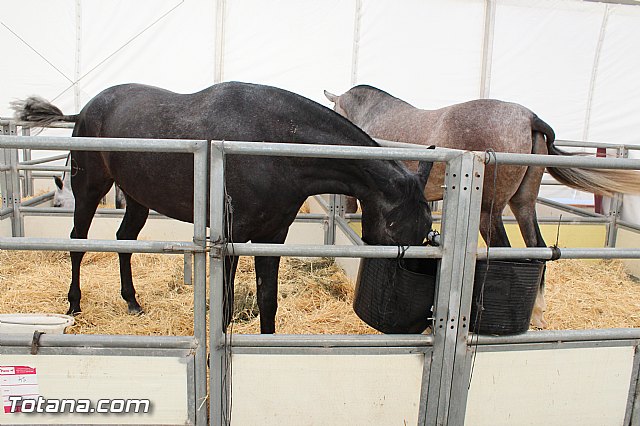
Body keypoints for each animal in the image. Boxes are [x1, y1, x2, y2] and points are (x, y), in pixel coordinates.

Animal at [13, 81, 434, 334]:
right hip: (88, 189)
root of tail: (85, 110)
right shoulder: (232, 238)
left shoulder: (272, 237)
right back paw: (74, 306)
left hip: (137, 200)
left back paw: (132, 301)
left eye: (427, 231)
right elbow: (227, 306)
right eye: (394, 226)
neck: (273, 143)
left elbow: (267, 300)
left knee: (124, 239)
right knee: (78, 243)